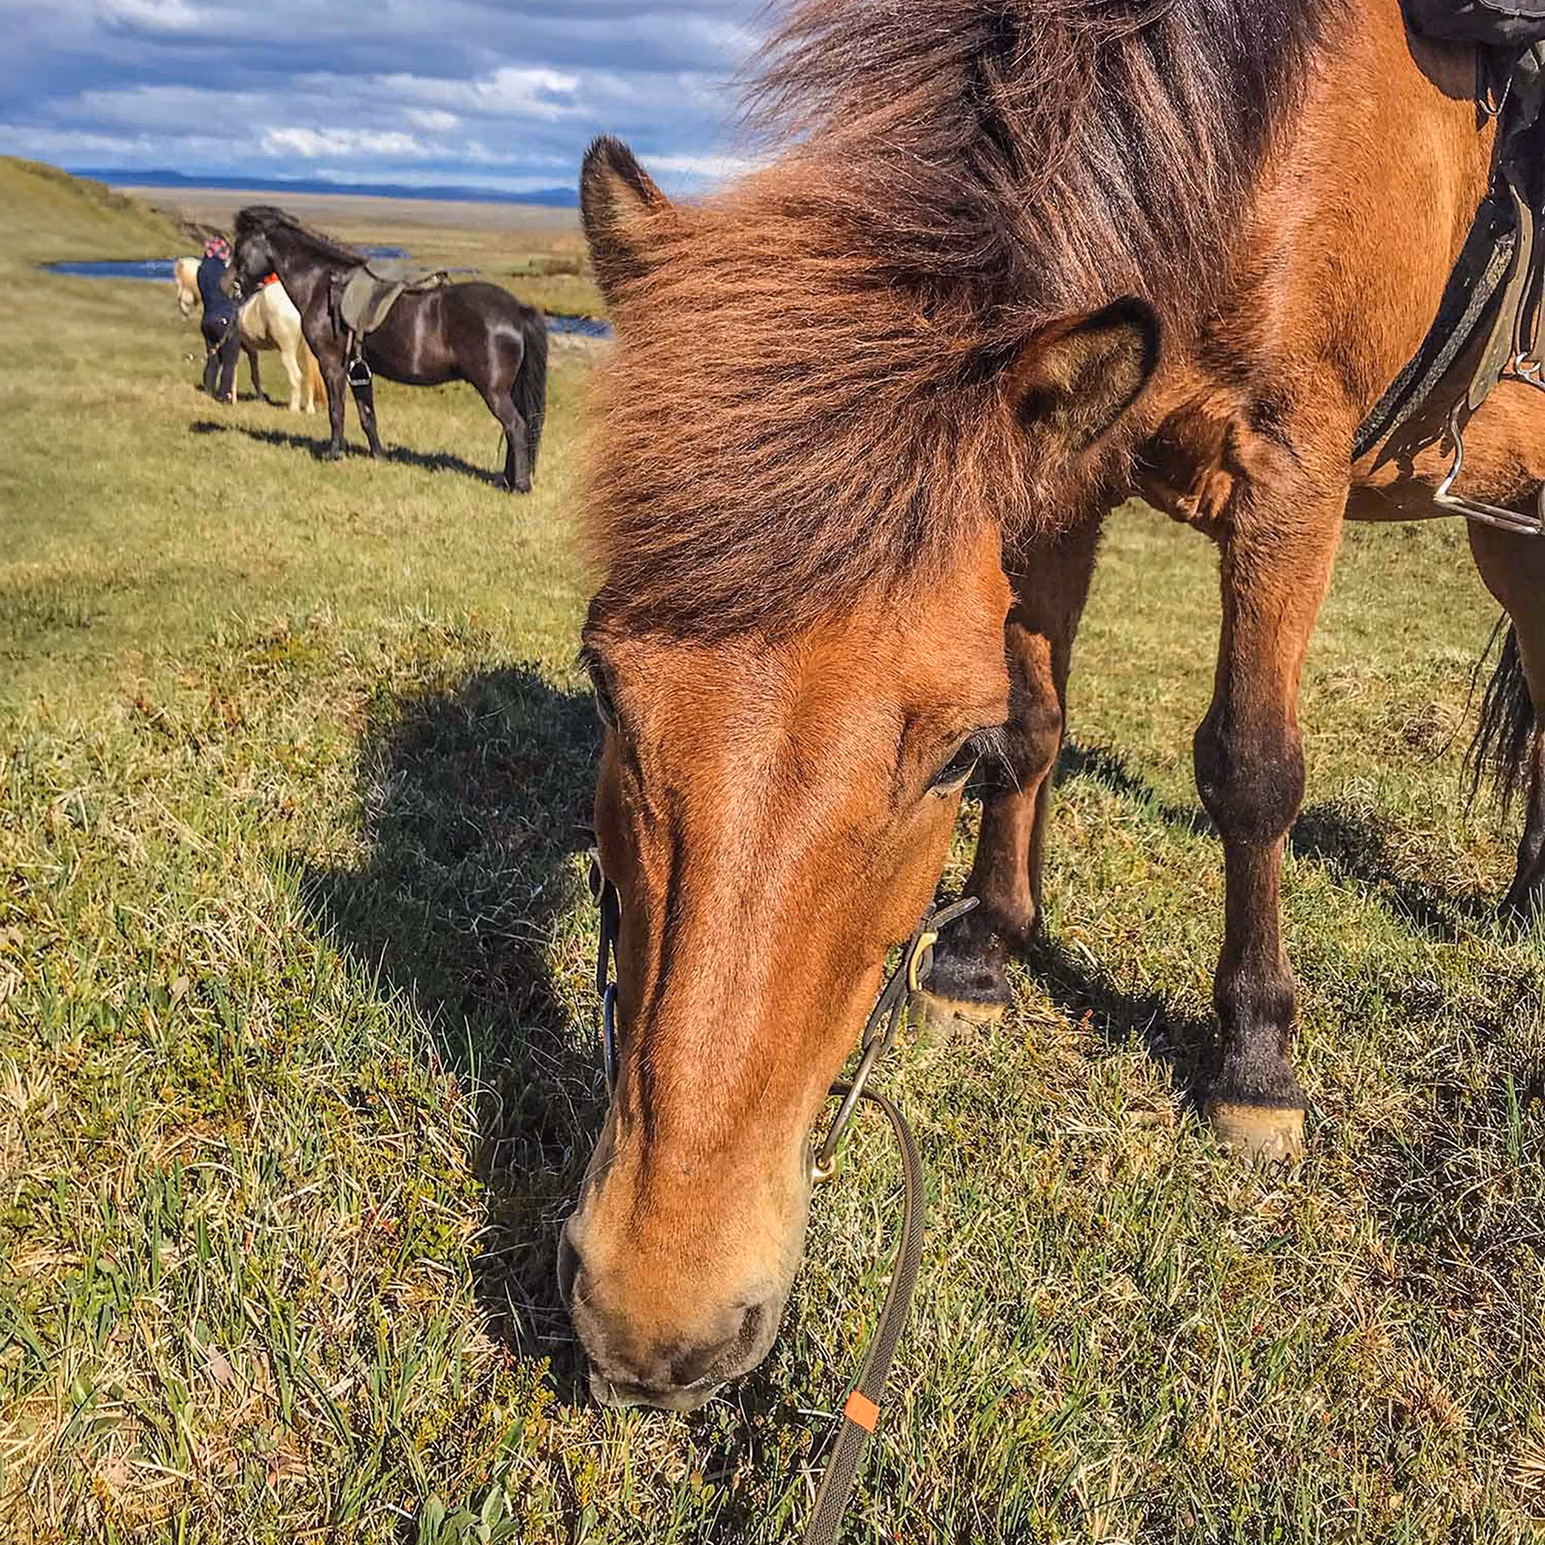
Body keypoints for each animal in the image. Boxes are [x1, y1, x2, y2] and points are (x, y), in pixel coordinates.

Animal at [173, 255, 324, 413]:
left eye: (180, 282)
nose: (183, 309)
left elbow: (232, 371)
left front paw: (231, 398)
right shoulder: (250, 349)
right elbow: (253, 374)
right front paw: (258, 398)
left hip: (286, 352)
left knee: (296, 376)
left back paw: (293, 409)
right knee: (309, 377)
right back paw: (310, 409)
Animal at [225, 207, 547, 492]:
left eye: (240, 246)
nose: (228, 286)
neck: (321, 284)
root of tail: (516, 309)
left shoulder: (332, 364)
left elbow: (336, 411)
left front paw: (334, 453)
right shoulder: (358, 370)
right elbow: (367, 415)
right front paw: (379, 456)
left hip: (494, 391)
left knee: (517, 427)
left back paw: (519, 486)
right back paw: (508, 480)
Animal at [561, 0, 1545, 1412]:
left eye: (940, 757)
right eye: (603, 680)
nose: (656, 1321)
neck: (1267, 125)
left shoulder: (1293, 466)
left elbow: (1252, 767)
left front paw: (1256, 1061)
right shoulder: (1068, 465)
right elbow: (1041, 720)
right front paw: (982, 953)